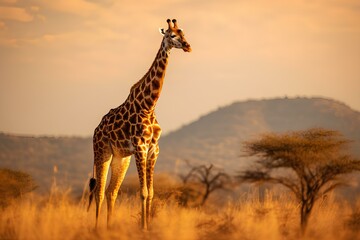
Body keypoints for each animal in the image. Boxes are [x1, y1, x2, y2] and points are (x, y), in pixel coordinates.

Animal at [87, 18, 191, 229]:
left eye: (183, 33)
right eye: (172, 35)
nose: (188, 46)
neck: (149, 105)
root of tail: (96, 130)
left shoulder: (153, 150)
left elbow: (150, 193)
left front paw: (148, 226)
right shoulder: (140, 147)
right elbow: (142, 192)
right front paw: (143, 228)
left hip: (121, 158)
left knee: (111, 191)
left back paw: (109, 227)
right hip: (102, 152)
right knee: (99, 192)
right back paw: (96, 229)